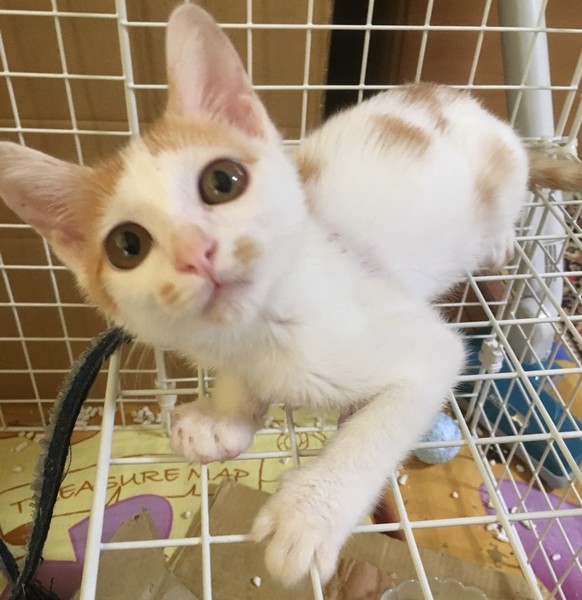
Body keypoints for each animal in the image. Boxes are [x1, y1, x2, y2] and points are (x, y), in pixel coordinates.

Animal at [1, 3, 581, 588]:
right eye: (127, 245)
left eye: (223, 180)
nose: (196, 252)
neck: (265, 332)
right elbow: (238, 387)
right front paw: (223, 418)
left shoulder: (424, 350)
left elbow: (380, 425)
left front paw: (309, 514)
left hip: (503, 176)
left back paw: (501, 236)